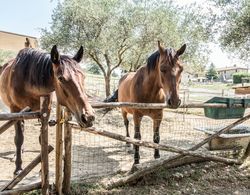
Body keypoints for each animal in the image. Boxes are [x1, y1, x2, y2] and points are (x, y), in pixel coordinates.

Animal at [0, 45, 94, 174]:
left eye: (83, 76)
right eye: (61, 78)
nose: (88, 117)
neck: (27, 80)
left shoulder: (45, 111)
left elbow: (42, 139)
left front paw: (42, 167)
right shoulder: (15, 110)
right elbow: (19, 138)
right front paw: (18, 168)